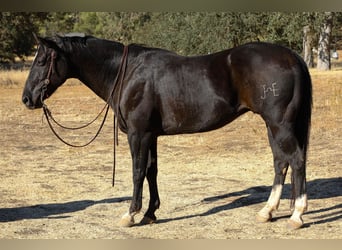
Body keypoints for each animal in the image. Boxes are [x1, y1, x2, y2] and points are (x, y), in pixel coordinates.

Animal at [21, 34, 312, 229]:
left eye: (43, 60)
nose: (27, 98)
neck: (128, 73)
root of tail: (292, 57)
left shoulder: (138, 134)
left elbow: (138, 172)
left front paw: (131, 214)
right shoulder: (151, 135)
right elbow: (152, 171)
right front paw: (150, 213)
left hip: (279, 124)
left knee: (296, 160)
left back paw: (297, 214)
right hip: (273, 126)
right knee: (281, 162)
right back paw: (268, 211)